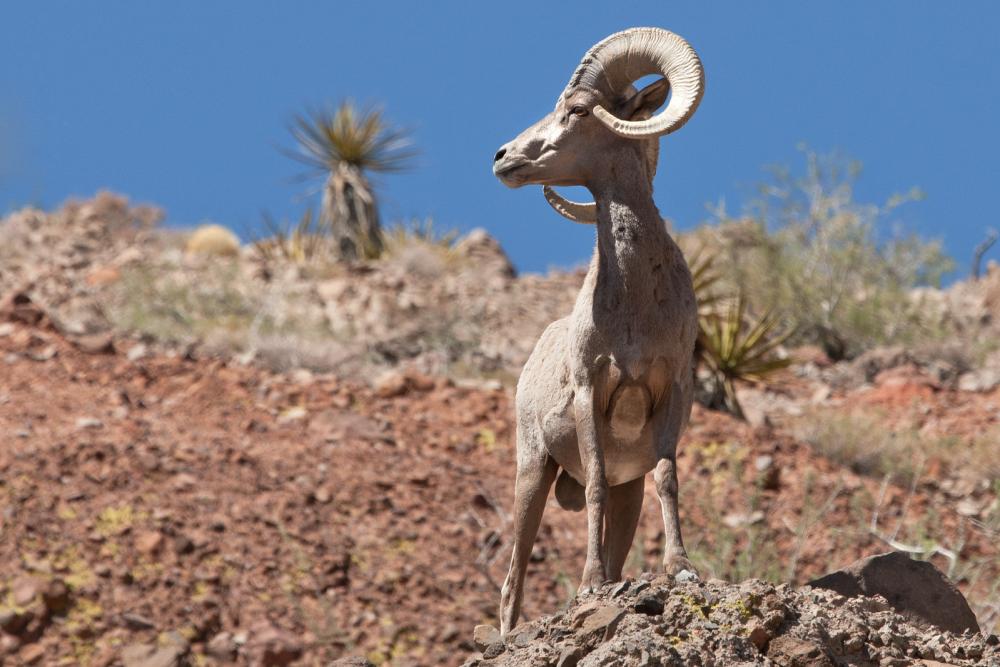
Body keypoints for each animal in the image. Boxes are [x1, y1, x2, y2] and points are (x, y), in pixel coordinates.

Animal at [492, 26, 704, 636]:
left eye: (579, 109)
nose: (503, 157)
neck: (634, 308)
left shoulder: (669, 394)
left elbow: (668, 479)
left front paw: (682, 570)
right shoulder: (592, 391)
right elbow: (593, 488)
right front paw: (589, 586)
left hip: (624, 494)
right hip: (532, 473)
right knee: (512, 577)